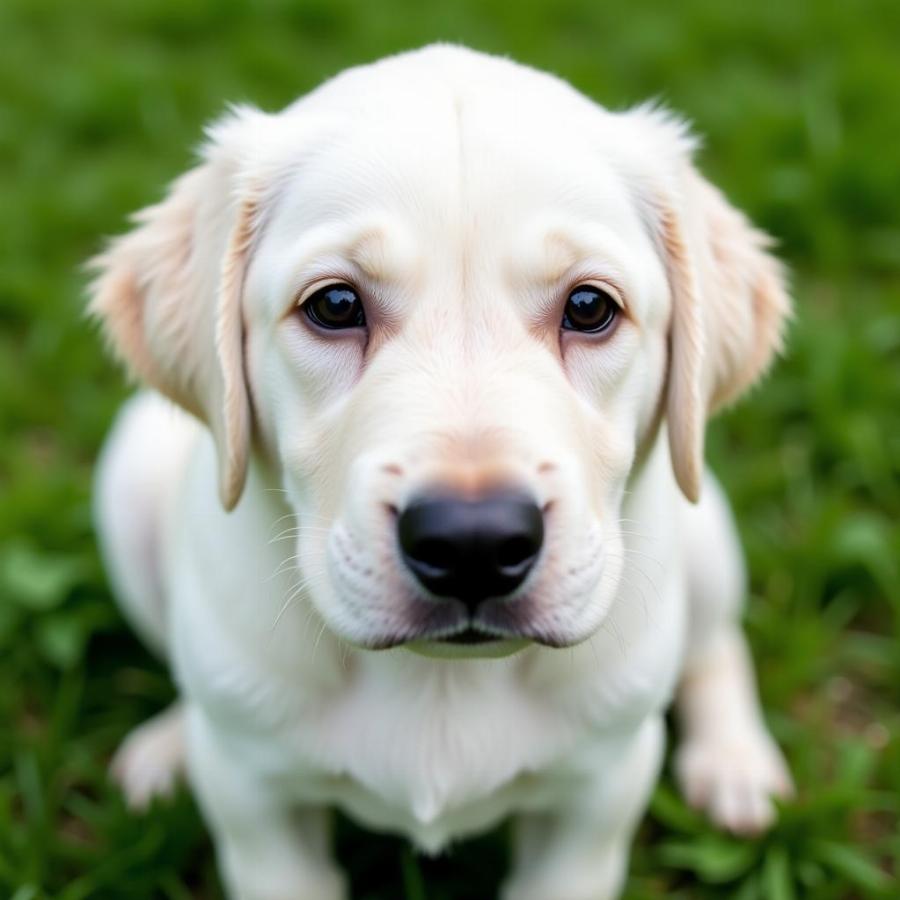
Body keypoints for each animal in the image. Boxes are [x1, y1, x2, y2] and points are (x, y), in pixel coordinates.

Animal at [88, 44, 792, 900]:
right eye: (334, 306)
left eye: (590, 308)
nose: (473, 543)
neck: (439, 683)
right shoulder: (256, 804)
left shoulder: (599, 792)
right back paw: (169, 746)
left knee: (716, 643)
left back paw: (734, 766)